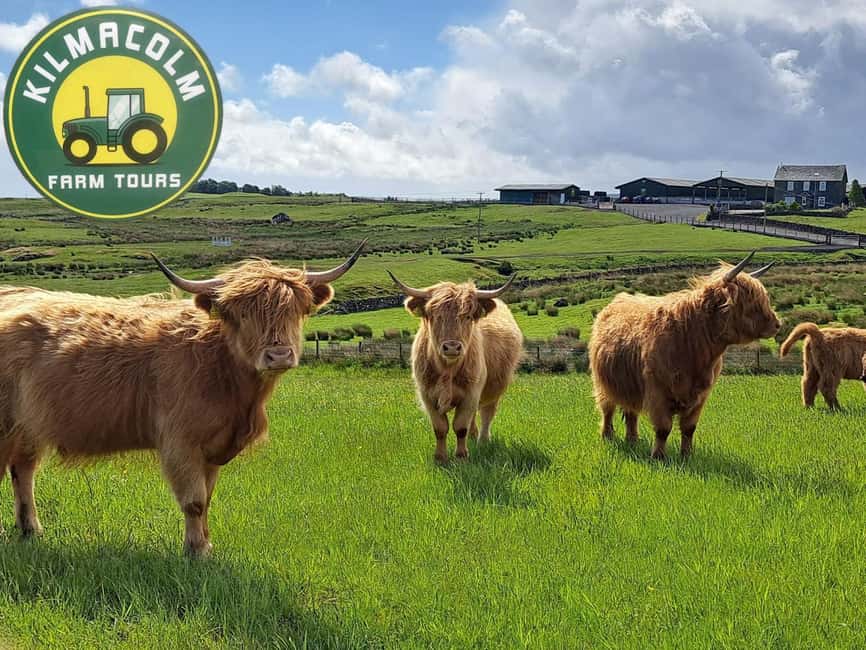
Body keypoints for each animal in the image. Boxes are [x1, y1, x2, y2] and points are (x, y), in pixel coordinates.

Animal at [0, 243, 365, 555]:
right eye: (243, 314)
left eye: (296, 311)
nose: (278, 355)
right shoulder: (181, 442)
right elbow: (195, 501)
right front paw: (196, 551)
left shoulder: (213, 448)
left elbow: (208, 497)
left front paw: (206, 544)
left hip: (27, 426)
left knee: (23, 470)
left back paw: (31, 531)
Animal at [388, 272, 523, 463]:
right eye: (435, 316)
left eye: (467, 316)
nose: (452, 347)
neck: (447, 370)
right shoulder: (427, 395)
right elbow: (440, 428)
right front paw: (440, 457)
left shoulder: (470, 394)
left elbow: (460, 427)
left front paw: (461, 456)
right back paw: (474, 436)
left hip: (495, 389)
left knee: (487, 414)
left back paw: (482, 441)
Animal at [589, 252, 779, 460]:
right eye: (750, 301)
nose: (777, 324)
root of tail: (618, 300)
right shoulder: (658, 392)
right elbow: (663, 429)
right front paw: (659, 457)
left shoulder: (701, 396)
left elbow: (689, 428)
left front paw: (687, 456)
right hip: (603, 382)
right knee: (607, 409)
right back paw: (607, 436)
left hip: (630, 386)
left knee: (631, 412)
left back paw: (633, 440)